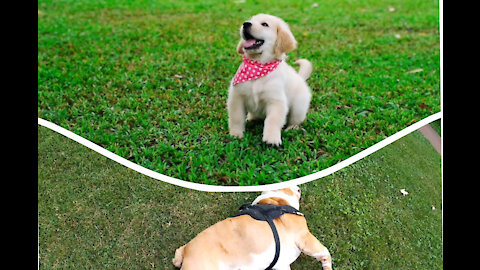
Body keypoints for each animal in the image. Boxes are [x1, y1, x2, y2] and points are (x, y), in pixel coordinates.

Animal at [227, 14, 314, 146]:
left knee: (295, 120)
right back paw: (251, 118)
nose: (245, 24)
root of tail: (300, 78)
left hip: (298, 107)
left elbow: (272, 120)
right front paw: (236, 134)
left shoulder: (276, 101)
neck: (258, 65)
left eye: (264, 24)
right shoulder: (237, 97)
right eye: (250, 20)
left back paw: (291, 128)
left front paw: (271, 139)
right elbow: (236, 117)